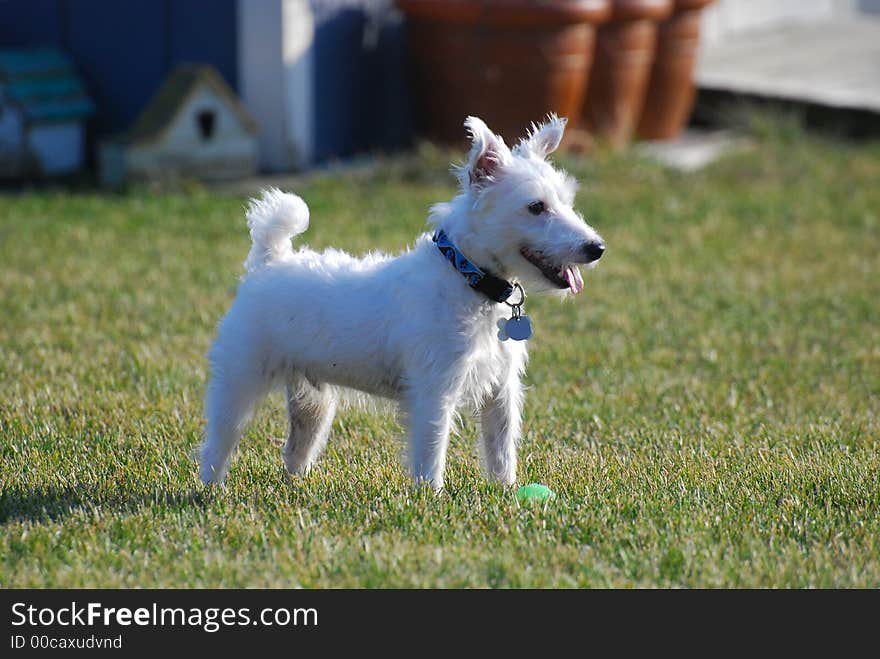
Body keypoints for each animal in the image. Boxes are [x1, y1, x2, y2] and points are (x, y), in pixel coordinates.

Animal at [203, 114, 604, 490]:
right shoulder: (434, 392)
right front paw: (432, 497)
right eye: (536, 207)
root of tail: (270, 260)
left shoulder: (500, 392)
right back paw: (209, 490)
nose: (596, 248)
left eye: (567, 202)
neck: (467, 277)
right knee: (217, 442)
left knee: (295, 449)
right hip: (239, 380)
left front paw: (506, 492)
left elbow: (501, 450)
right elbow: (431, 450)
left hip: (312, 401)